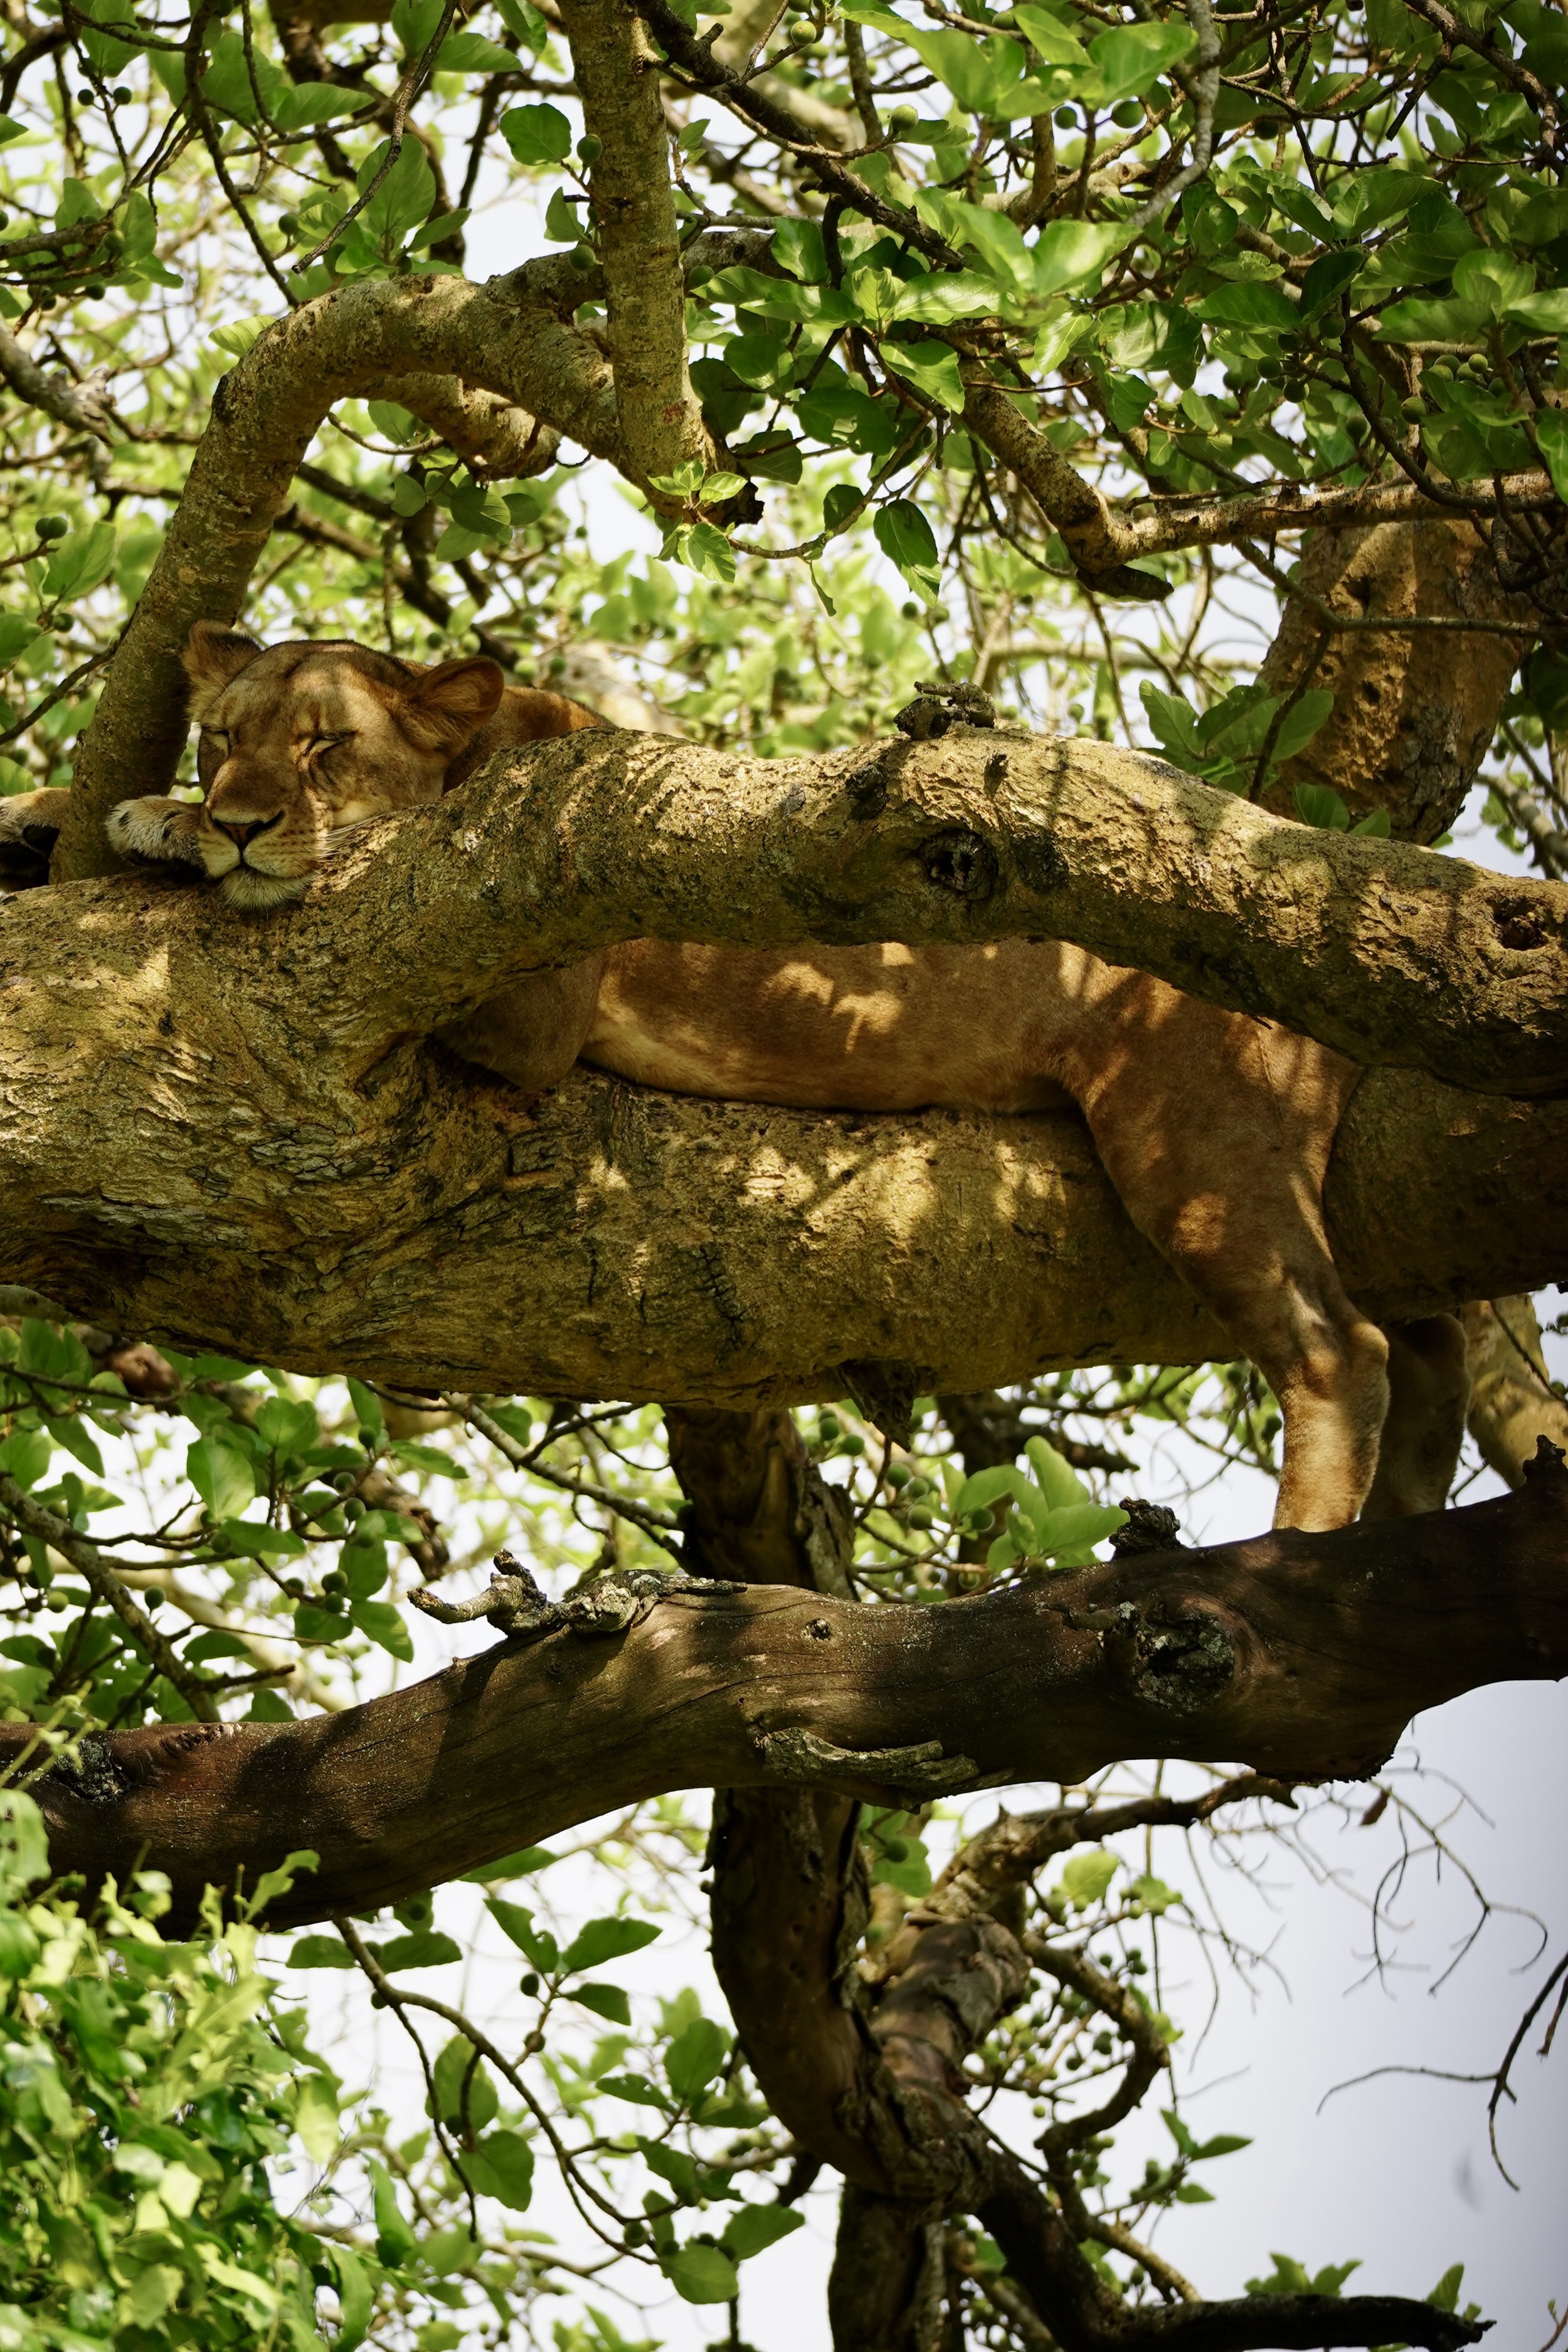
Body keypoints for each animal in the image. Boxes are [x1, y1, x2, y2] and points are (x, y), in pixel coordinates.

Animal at [2, 622, 1470, 1534]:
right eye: (220, 736)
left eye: (322, 747)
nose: (239, 814)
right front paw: (57, 816)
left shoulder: (523, 975)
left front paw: (168, 828)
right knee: (1431, 1347)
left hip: (1197, 1144)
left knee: (1340, 1350)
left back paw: (1298, 1558)